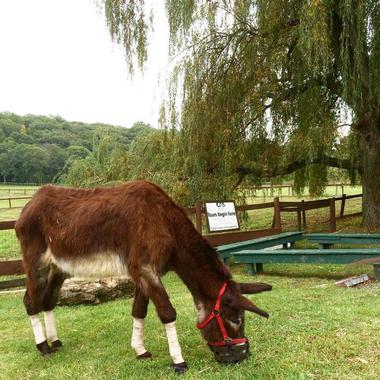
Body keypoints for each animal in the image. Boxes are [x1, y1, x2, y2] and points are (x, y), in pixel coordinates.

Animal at [15, 180, 270, 372]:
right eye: (236, 320)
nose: (243, 355)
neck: (165, 222)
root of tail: (30, 204)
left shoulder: (143, 274)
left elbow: (139, 310)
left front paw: (140, 350)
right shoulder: (146, 270)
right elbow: (167, 313)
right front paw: (178, 361)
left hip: (59, 268)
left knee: (48, 301)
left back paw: (54, 341)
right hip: (37, 263)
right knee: (30, 302)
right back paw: (44, 348)